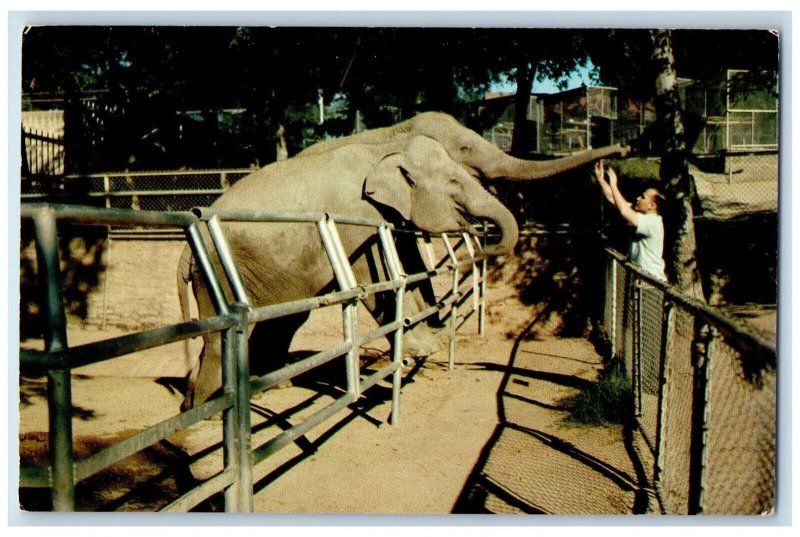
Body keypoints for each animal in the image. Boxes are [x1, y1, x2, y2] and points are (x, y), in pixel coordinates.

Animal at [178, 112, 628, 406]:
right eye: (463, 153)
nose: (622, 150)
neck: (388, 140)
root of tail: (185, 249)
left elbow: (412, 265)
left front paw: (431, 337)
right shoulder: (356, 218)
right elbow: (380, 275)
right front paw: (421, 344)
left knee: (283, 323)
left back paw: (267, 388)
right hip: (218, 272)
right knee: (222, 338)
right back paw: (202, 409)